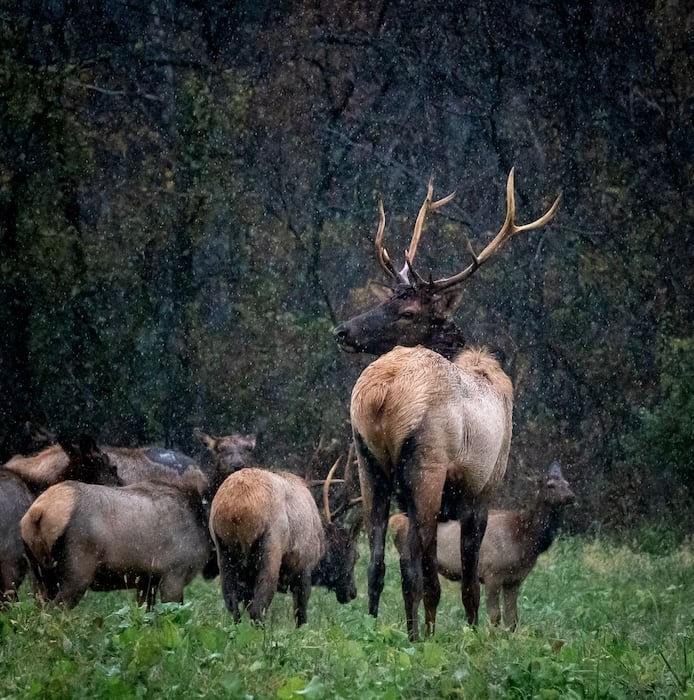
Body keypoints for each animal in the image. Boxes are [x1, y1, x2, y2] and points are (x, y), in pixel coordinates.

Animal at [390, 461, 575, 630]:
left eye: (567, 483)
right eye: (550, 485)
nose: (571, 496)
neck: (524, 540)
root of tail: (394, 520)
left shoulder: (514, 579)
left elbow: (512, 619)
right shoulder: (492, 573)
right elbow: (495, 616)